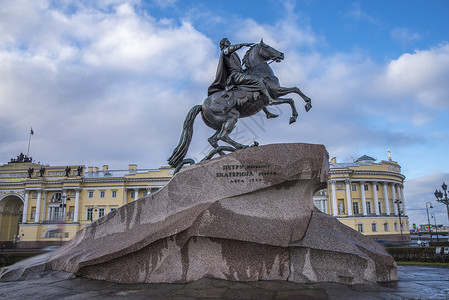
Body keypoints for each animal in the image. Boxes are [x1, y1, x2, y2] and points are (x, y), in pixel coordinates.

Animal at [168, 39, 312, 171]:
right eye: (266, 46)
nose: (281, 54)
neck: (260, 72)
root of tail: (202, 106)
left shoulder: (275, 93)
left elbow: (294, 91)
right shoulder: (276, 93)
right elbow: (291, 96)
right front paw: (300, 111)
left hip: (219, 124)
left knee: (213, 139)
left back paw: (221, 154)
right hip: (232, 117)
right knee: (222, 136)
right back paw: (242, 147)